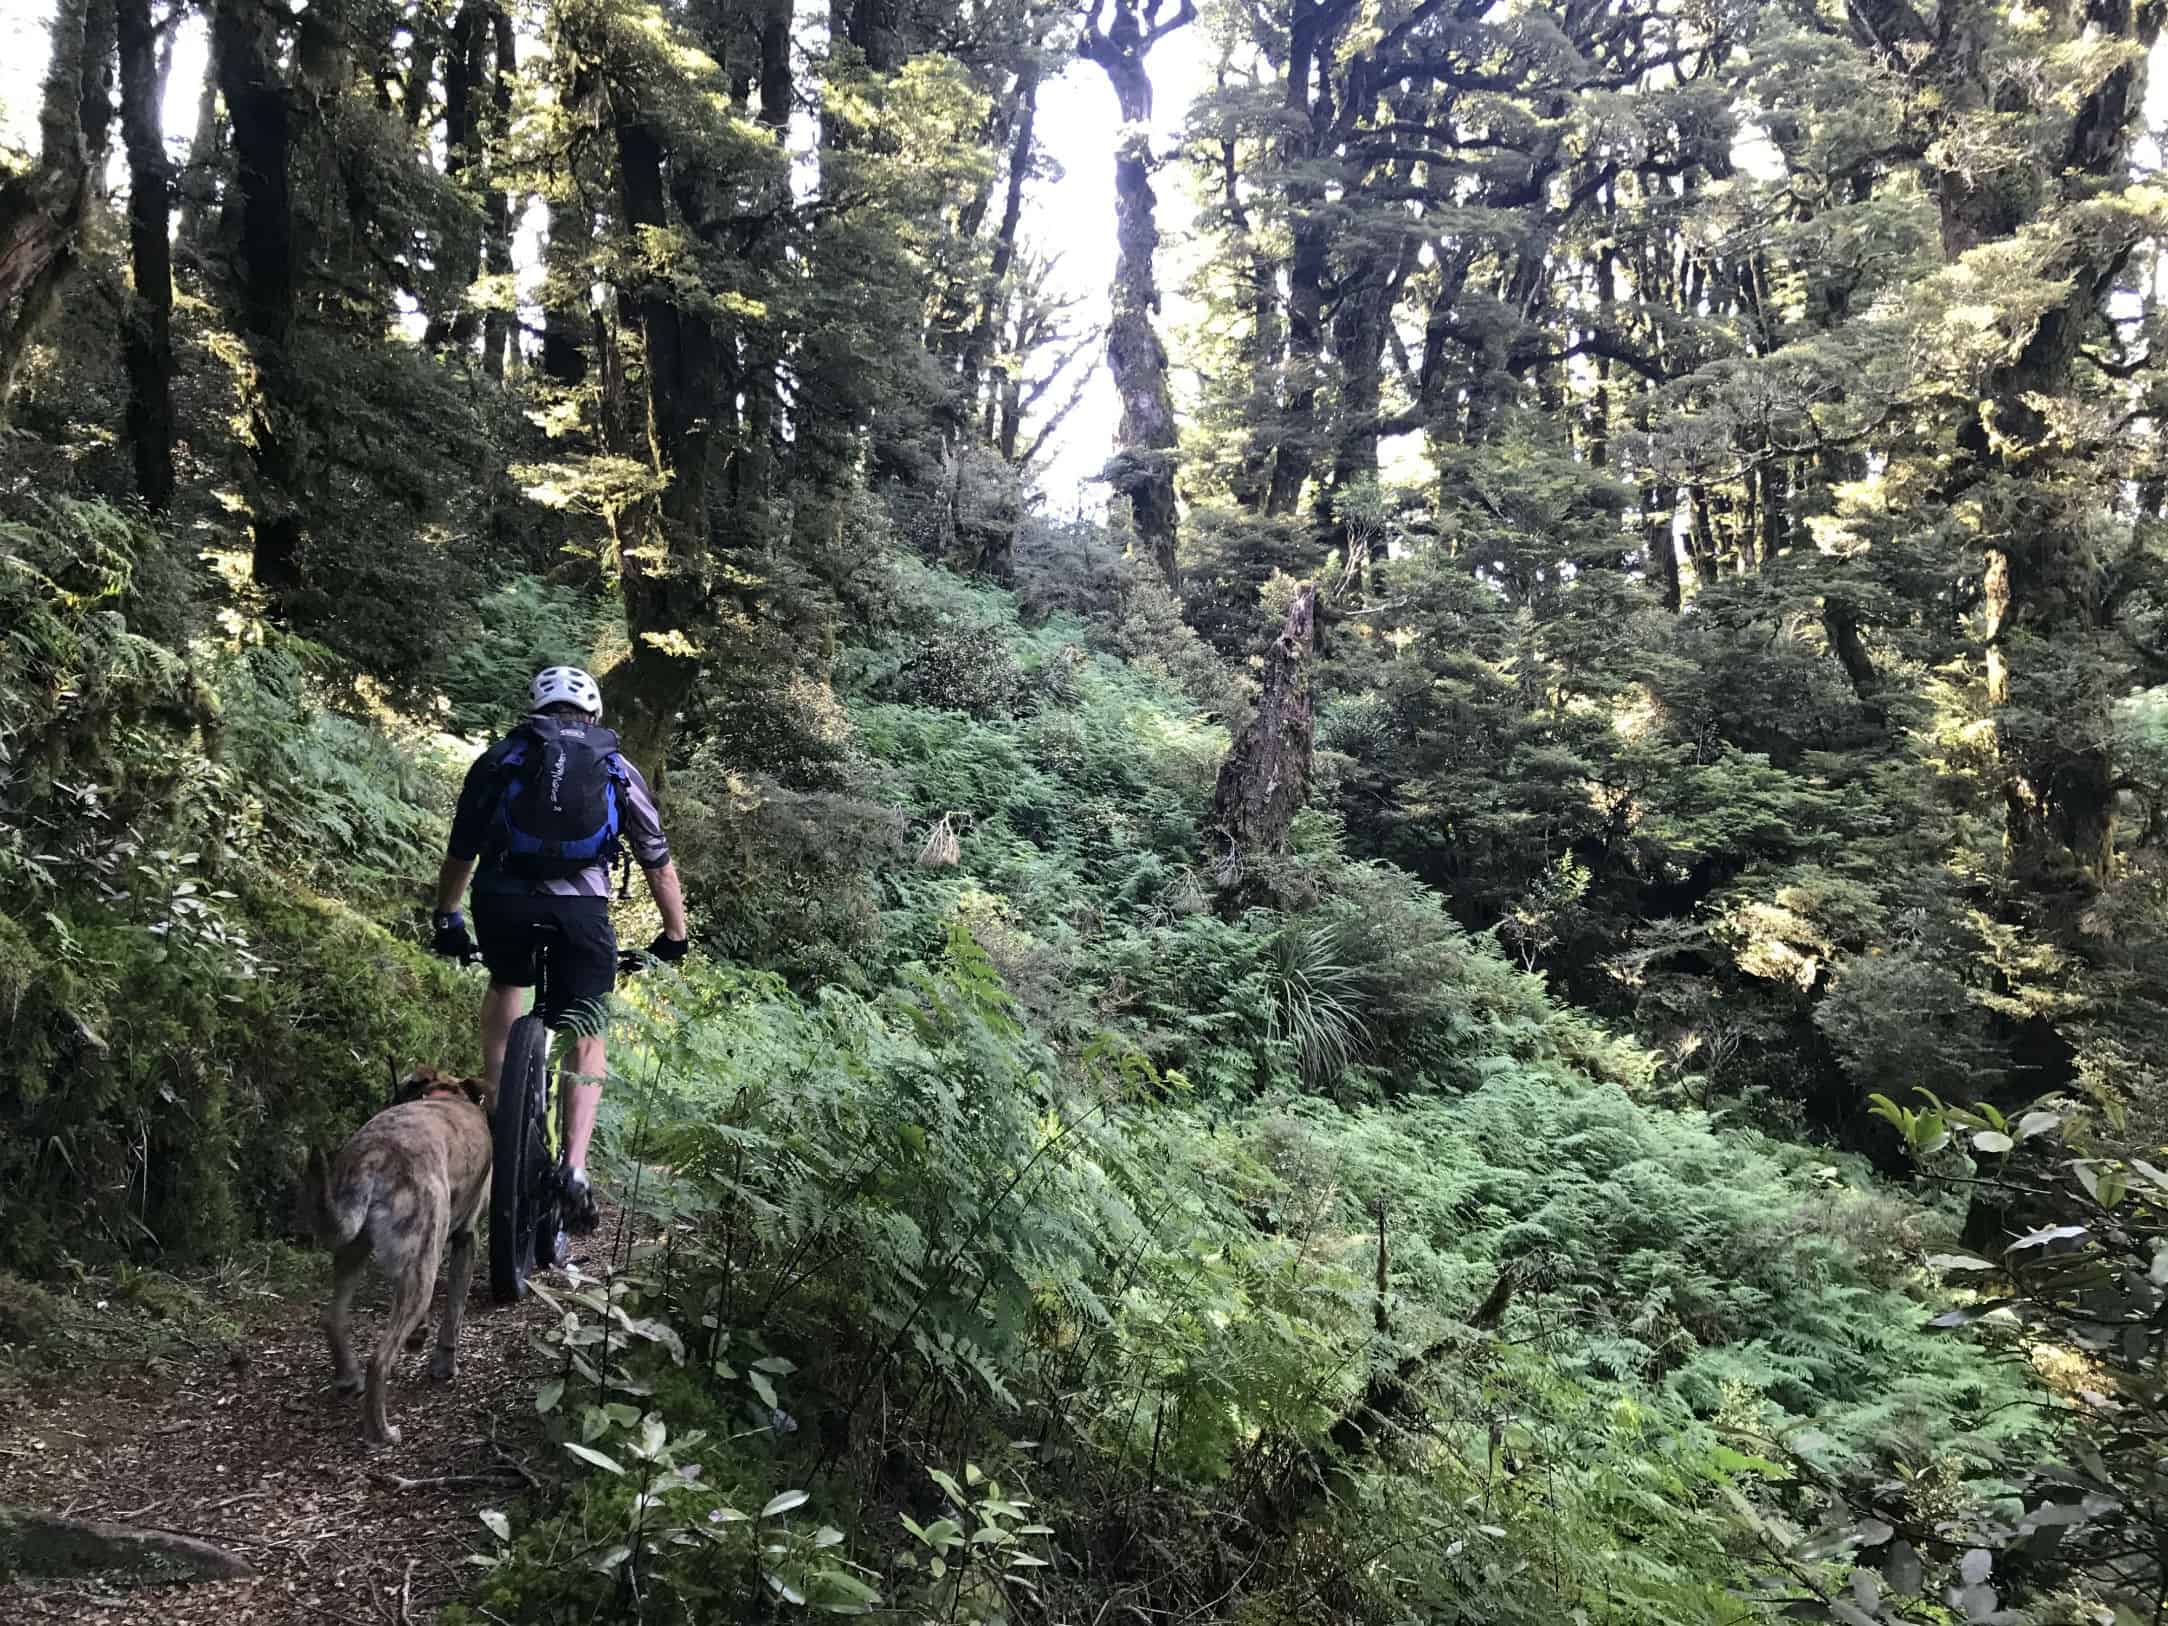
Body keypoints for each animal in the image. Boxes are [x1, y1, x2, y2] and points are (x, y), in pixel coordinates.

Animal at [301, 1075, 496, 1448]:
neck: (448, 1095)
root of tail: (374, 1156)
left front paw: (419, 1334)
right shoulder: (466, 1239)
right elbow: (454, 1314)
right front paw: (443, 1365)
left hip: (356, 1250)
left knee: (332, 1317)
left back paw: (348, 1377)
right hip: (424, 1260)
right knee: (379, 1360)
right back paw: (381, 1432)